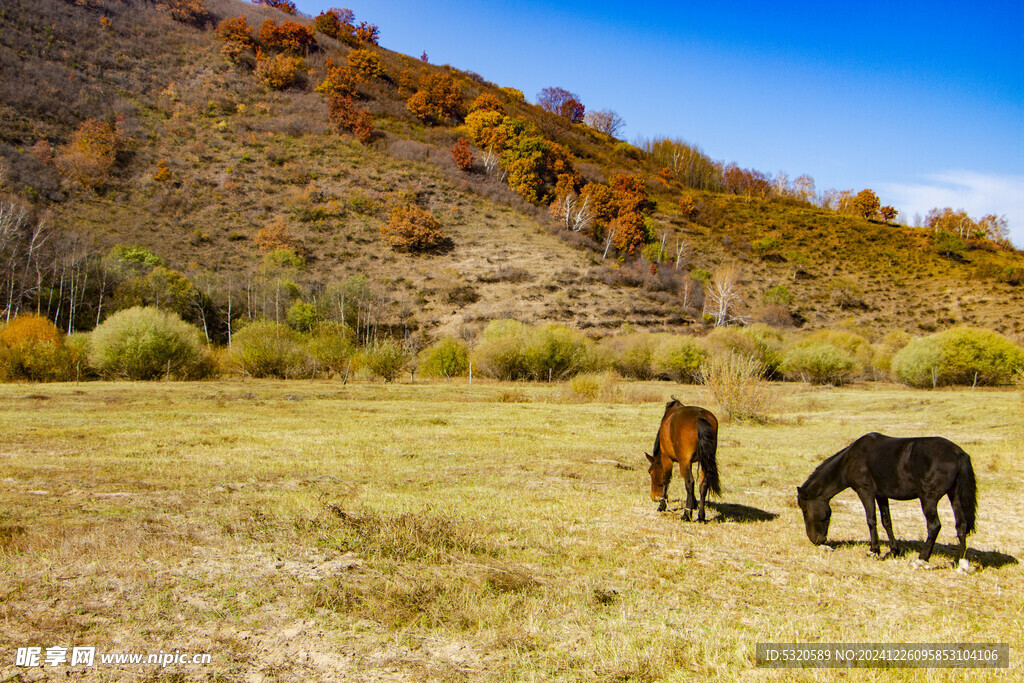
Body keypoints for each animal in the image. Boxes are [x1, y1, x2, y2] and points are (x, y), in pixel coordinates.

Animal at [790, 436, 974, 569]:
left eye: (804, 510)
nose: (815, 540)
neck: (850, 460)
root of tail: (957, 453)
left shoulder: (865, 492)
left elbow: (871, 520)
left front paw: (873, 551)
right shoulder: (881, 495)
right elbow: (887, 522)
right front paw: (894, 550)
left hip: (928, 499)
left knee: (934, 526)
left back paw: (921, 559)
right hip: (955, 495)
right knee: (961, 526)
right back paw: (961, 562)